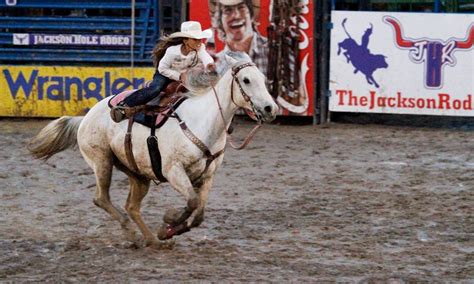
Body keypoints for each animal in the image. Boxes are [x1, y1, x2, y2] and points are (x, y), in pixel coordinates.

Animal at [28, 56, 278, 246]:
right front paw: (169, 221)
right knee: (101, 198)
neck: (202, 121)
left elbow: (199, 214)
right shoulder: (173, 170)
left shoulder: (207, 176)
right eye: (246, 80)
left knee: (131, 206)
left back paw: (151, 239)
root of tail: (84, 118)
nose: (270, 108)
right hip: (102, 162)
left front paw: (167, 231)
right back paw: (132, 233)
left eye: (263, 79)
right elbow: (192, 203)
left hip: (138, 174)